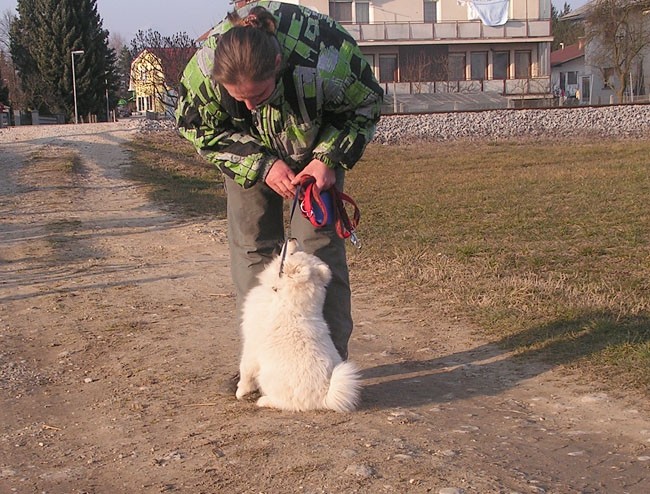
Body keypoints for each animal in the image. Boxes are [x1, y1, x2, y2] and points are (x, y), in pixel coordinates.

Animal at [235, 239, 360, 412]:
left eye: (292, 254)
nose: (292, 239)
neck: (283, 296)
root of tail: (323, 395)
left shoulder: (252, 346)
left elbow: (245, 370)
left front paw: (241, 391)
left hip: (270, 379)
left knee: (286, 403)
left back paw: (264, 400)